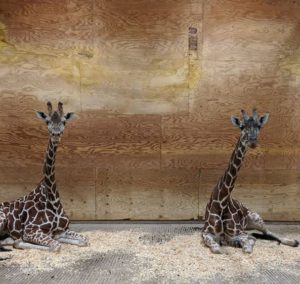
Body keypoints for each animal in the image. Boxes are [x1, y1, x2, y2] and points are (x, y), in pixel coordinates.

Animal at [0, 101, 89, 251]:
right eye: (47, 121)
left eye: (64, 121)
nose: (56, 134)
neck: (53, 200)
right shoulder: (30, 230)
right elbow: (56, 246)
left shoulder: (61, 230)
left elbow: (84, 240)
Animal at [202, 110, 298, 254]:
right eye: (242, 127)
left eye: (259, 126)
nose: (253, 141)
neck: (221, 203)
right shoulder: (206, 233)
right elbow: (216, 248)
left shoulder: (240, 234)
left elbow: (248, 245)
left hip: (256, 218)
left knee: (268, 232)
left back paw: (292, 241)